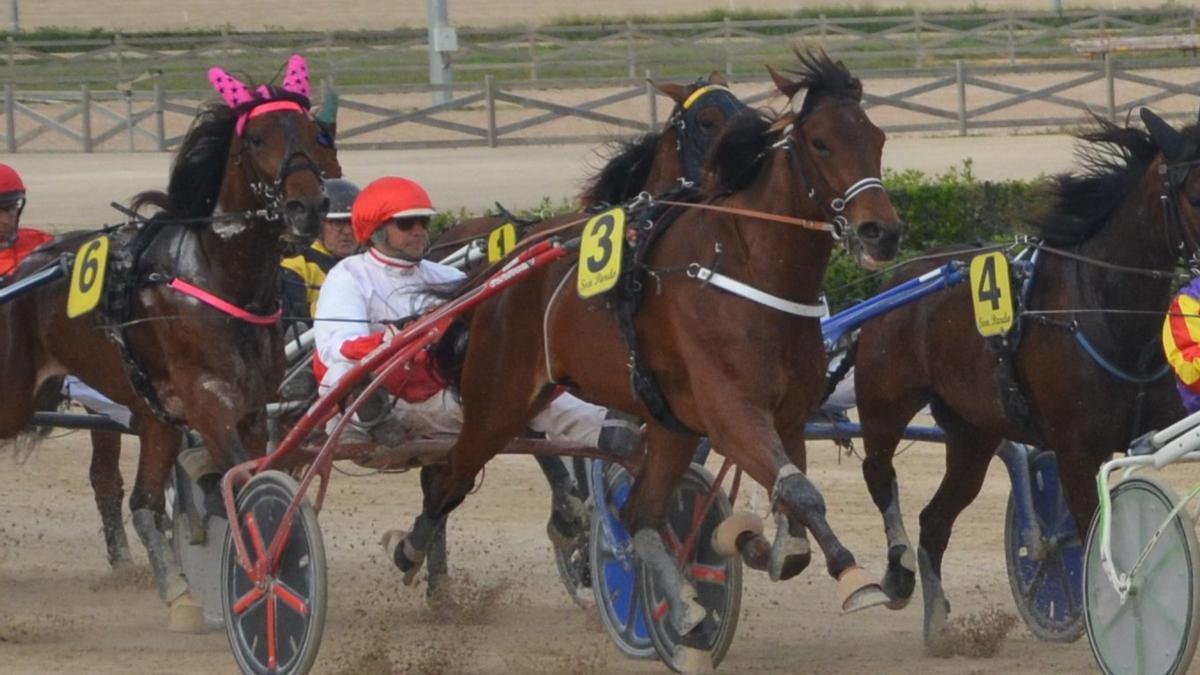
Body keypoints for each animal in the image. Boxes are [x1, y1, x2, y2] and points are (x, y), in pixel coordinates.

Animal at [0, 55, 338, 629]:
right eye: (257, 139)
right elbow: (237, 487)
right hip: (14, 396)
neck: (217, 275)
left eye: (316, 134)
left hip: (151, 414)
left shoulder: (251, 411)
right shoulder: (210, 406)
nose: (306, 206)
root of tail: (21, 268)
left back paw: (178, 593)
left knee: (141, 501)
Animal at [388, 49, 902, 658]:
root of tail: (508, 264)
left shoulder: (786, 414)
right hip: (498, 401)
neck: (745, 269)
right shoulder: (733, 413)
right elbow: (799, 491)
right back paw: (413, 554)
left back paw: (682, 608)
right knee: (448, 480)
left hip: (667, 424)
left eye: (877, 137)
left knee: (641, 514)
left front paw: (760, 545)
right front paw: (854, 575)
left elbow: (790, 501)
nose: (882, 232)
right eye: (821, 142)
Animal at [854, 107, 1200, 648]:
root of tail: (898, 282)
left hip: (972, 434)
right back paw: (897, 571)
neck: (1103, 310)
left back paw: (938, 627)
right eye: (1195, 194)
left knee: (935, 520)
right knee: (878, 473)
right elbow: (1094, 534)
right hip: (884, 403)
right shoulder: (1078, 452)